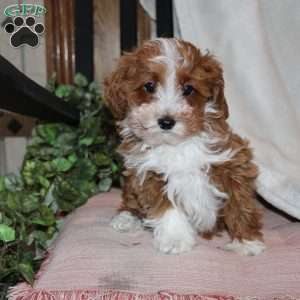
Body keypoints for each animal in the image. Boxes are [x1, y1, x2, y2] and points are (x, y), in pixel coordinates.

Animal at [103, 37, 264, 255]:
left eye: (188, 89)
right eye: (149, 86)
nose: (166, 121)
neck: (177, 145)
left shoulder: (232, 160)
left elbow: (239, 200)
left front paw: (247, 241)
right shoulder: (150, 174)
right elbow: (168, 206)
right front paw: (175, 239)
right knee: (130, 198)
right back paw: (126, 217)